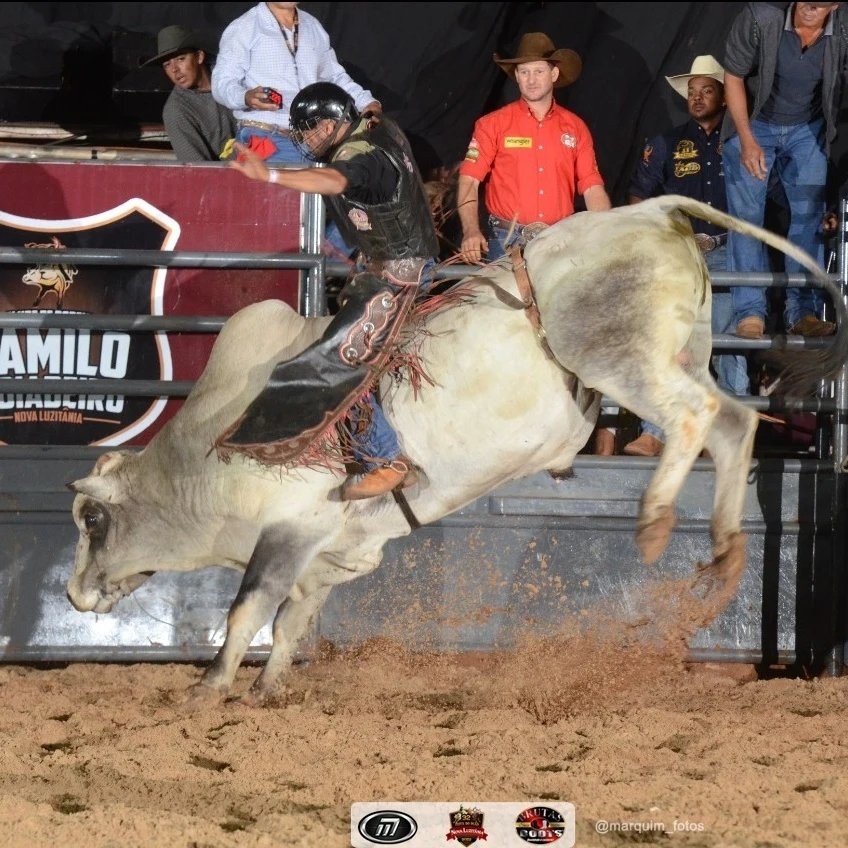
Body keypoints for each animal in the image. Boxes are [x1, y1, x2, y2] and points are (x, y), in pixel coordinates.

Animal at [66, 195, 848, 704]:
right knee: (733, 425)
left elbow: (247, 609)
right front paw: (266, 690)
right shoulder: (333, 553)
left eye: (93, 520)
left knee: (693, 419)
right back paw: (723, 550)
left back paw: (657, 520)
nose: (74, 595)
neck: (206, 450)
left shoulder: (289, 528)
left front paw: (209, 687)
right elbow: (291, 621)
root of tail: (655, 210)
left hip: (618, 356)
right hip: (681, 355)